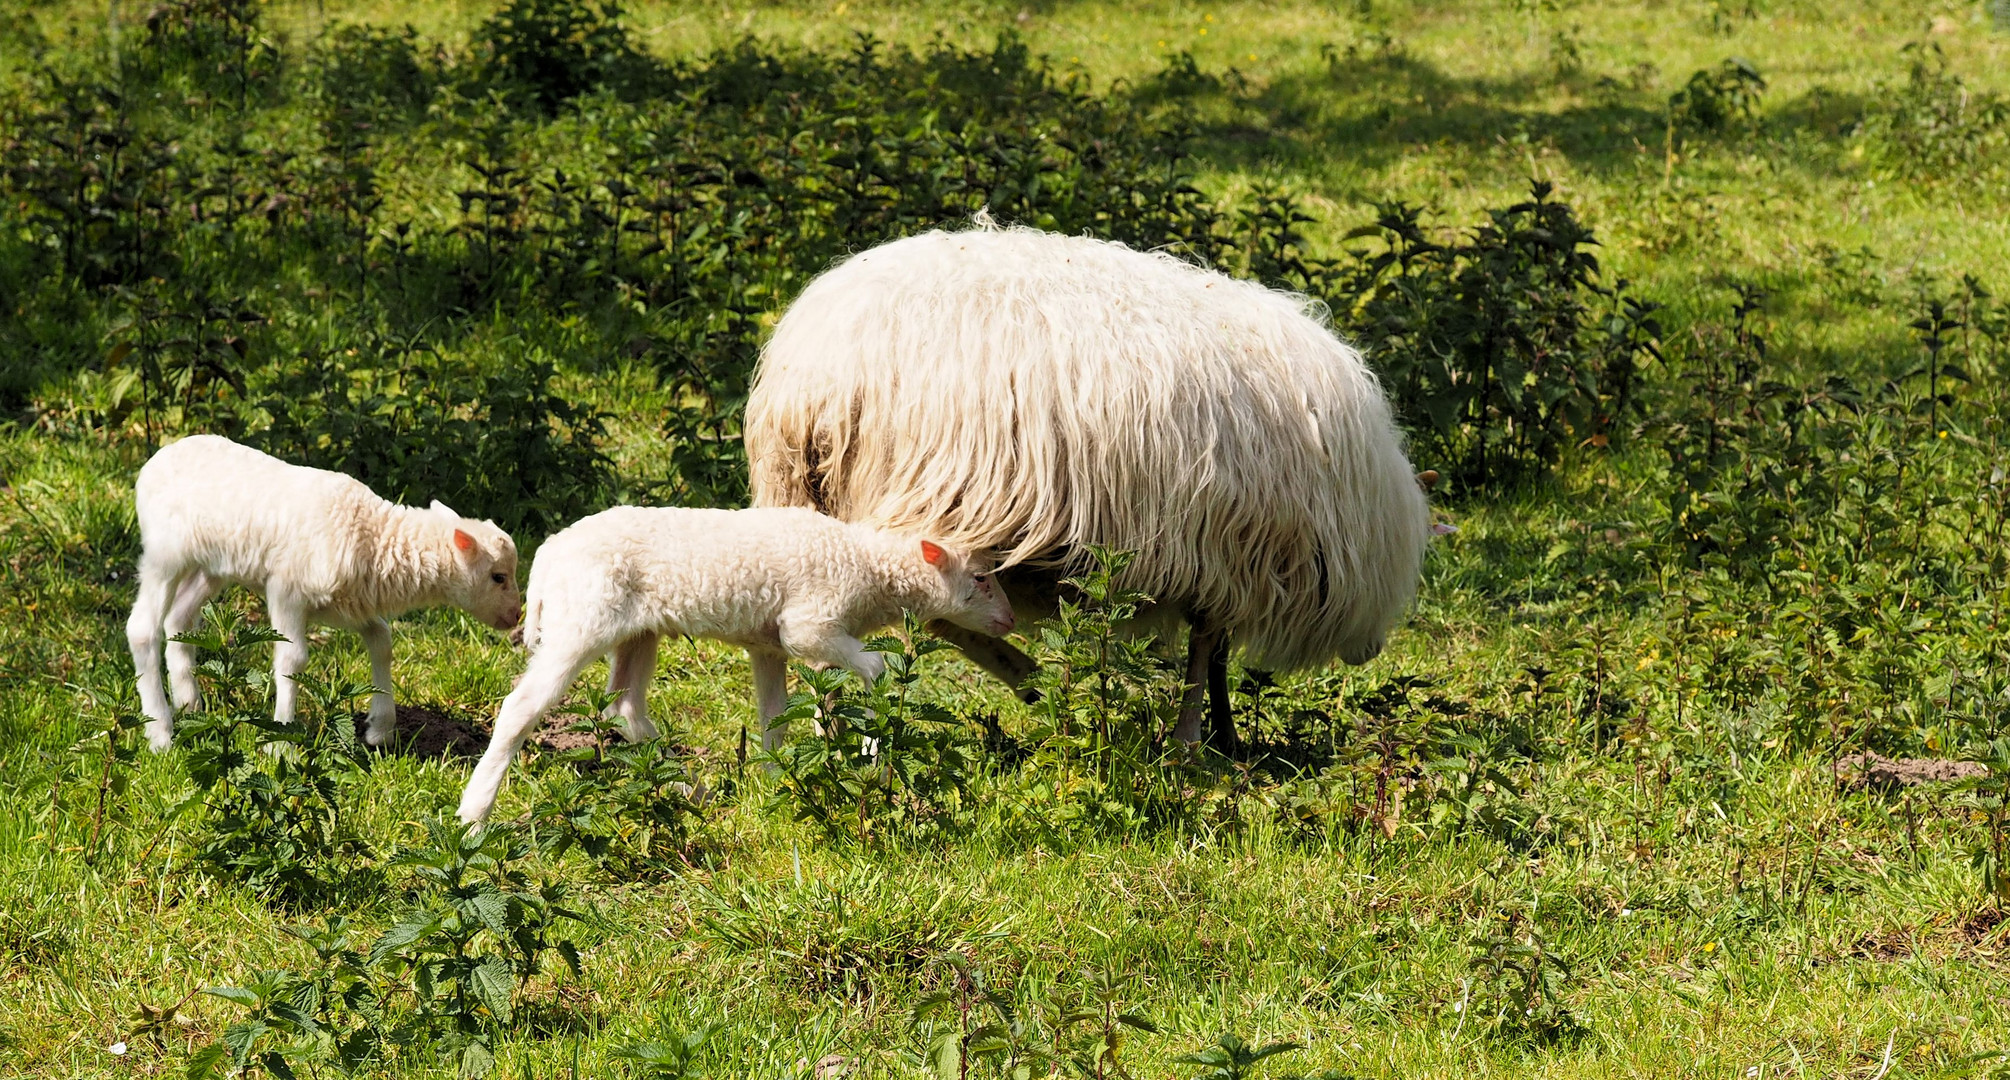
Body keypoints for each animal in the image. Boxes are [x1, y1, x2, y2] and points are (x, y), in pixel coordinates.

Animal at [123, 430, 518, 748]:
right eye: (498, 576)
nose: (516, 616)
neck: (373, 534)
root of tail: (155, 461)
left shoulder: (348, 603)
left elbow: (382, 641)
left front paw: (380, 729)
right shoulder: (287, 591)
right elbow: (292, 660)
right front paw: (280, 743)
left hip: (214, 564)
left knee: (179, 618)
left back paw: (189, 702)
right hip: (166, 554)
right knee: (142, 629)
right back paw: (161, 733)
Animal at [460, 502, 1013, 816]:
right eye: (981, 578)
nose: (1009, 620)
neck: (867, 565)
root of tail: (547, 555)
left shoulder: (770, 645)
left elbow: (775, 720)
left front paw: (777, 784)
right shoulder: (808, 626)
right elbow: (876, 670)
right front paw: (874, 758)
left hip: (636, 630)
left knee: (624, 707)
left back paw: (693, 790)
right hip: (582, 621)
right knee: (521, 707)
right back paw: (474, 813)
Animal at [743, 223, 1431, 744]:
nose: (1372, 651)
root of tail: (811, 379)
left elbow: (1211, 654)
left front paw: (1219, 738)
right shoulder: (1223, 554)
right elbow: (1207, 651)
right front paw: (1200, 743)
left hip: (803, 498)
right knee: (933, 614)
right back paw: (1027, 690)